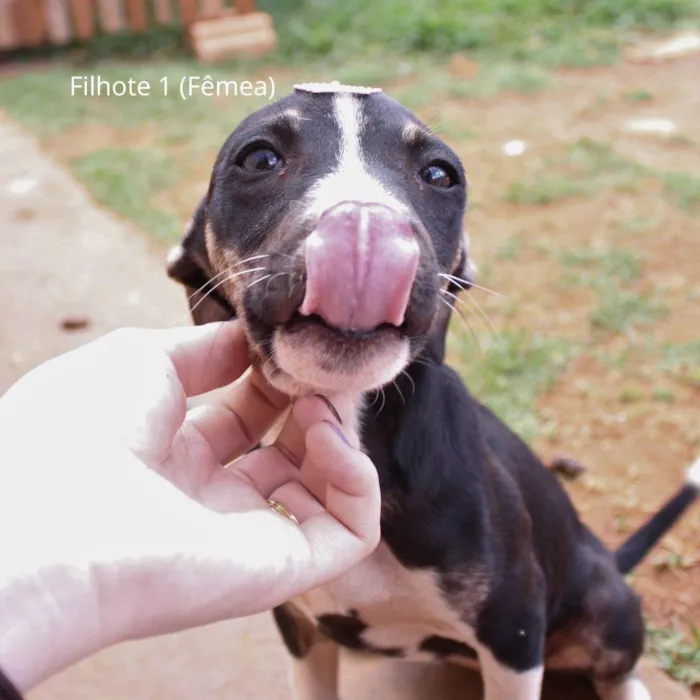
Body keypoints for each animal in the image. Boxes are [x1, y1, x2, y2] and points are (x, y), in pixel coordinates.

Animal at [167, 83, 696, 700]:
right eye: (258, 160)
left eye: (440, 174)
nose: (365, 225)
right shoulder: (302, 629)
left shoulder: (515, 632)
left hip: (606, 605)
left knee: (618, 670)